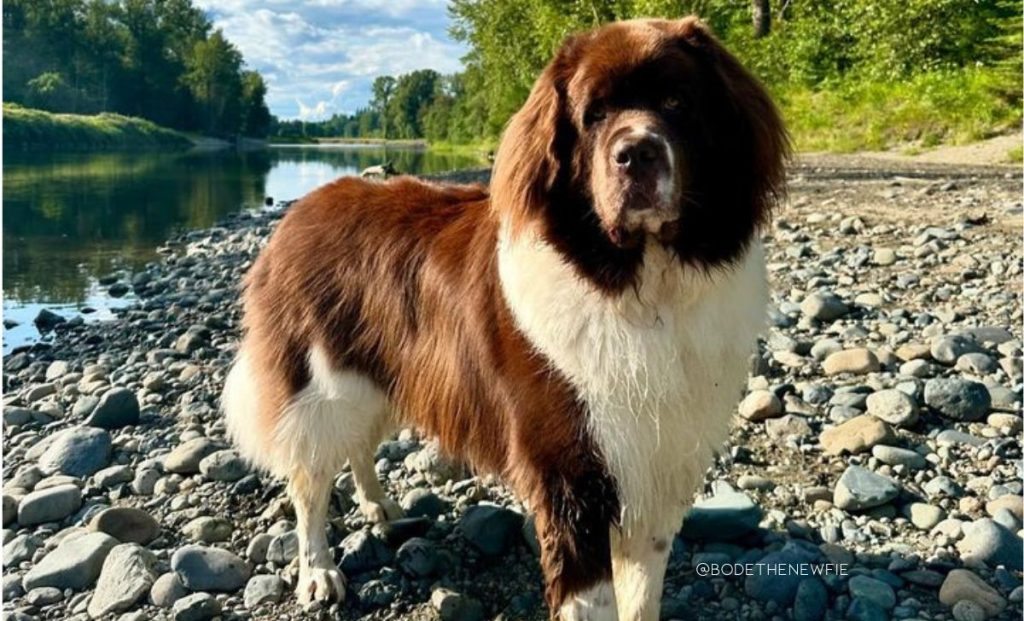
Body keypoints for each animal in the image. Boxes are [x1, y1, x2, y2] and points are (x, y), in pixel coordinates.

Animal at [222, 17, 782, 621]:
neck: (643, 287)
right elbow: (592, 598)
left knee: (357, 446)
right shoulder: (573, 478)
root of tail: (298, 211)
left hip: (383, 375)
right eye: (594, 114)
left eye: (677, 102)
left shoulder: (659, 467)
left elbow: (642, 592)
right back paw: (319, 572)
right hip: (324, 385)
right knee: (309, 480)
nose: (637, 153)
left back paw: (380, 507)